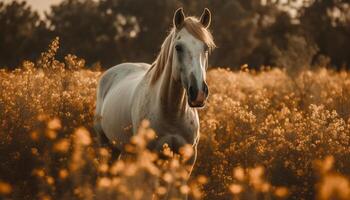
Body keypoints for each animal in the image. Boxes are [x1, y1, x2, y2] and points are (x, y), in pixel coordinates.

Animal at [94, 7, 215, 169]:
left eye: (206, 48)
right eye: (178, 47)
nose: (199, 93)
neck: (171, 114)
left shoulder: (188, 157)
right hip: (106, 145)